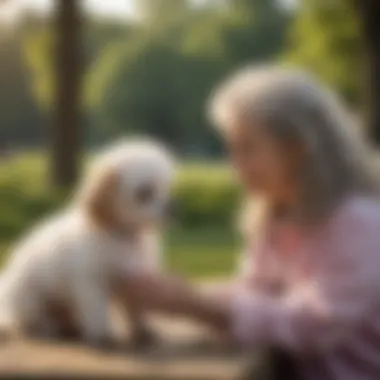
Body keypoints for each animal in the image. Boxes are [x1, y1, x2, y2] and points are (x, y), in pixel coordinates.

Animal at [0, 139, 175, 348]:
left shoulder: (137, 281)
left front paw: (143, 332)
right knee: (31, 322)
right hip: (30, 299)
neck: (123, 237)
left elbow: (137, 310)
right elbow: (98, 311)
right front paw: (103, 336)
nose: (172, 208)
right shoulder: (92, 283)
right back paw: (49, 330)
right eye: (144, 194)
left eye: (166, 188)